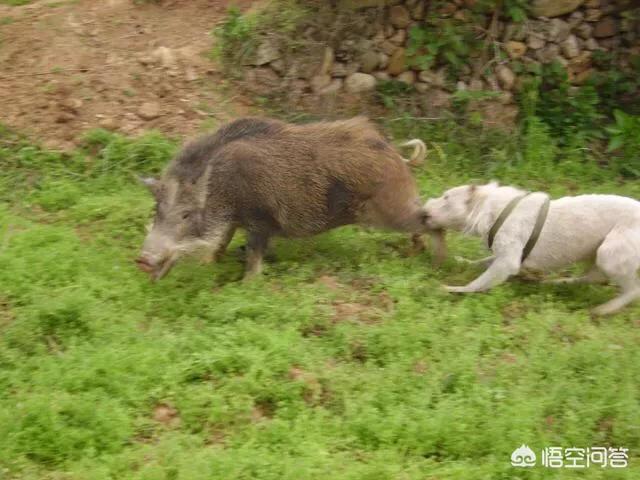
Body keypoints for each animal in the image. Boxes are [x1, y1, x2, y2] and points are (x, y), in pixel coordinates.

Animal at [424, 181, 640, 316]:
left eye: (446, 197)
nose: (424, 210)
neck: (492, 210)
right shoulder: (505, 255)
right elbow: (479, 263)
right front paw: (461, 262)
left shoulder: (507, 262)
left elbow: (476, 283)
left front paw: (449, 289)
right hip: (595, 254)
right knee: (593, 277)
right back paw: (557, 283)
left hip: (609, 253)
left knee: (632, 289)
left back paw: (604, 309)